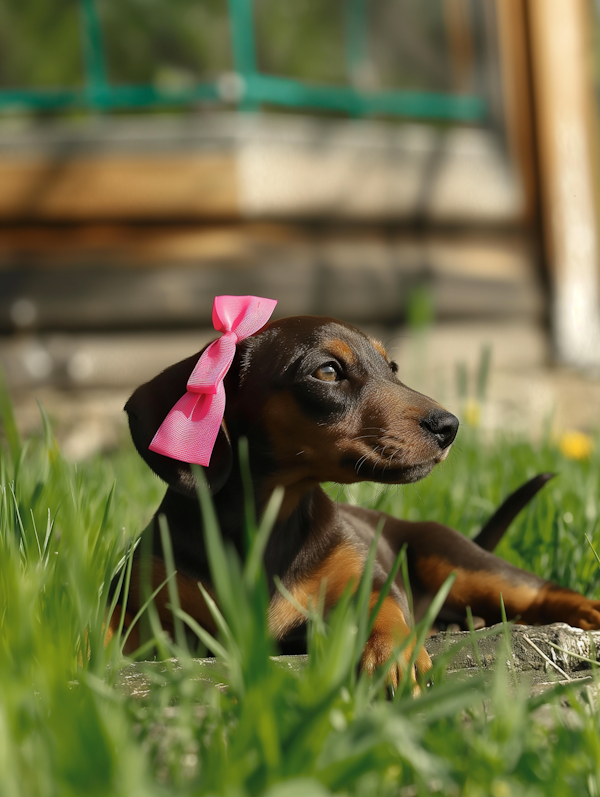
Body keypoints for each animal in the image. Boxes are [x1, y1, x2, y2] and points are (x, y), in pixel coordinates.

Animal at [115, 304, 600, 684]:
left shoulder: (367, 578)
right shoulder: (138, 602)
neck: (272, 520)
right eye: (328, 371)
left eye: (393, 369)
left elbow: (382, 608)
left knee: (538, 593)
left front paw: (394, 654)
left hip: (453, 558)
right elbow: (106, 638)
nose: (450, 426)